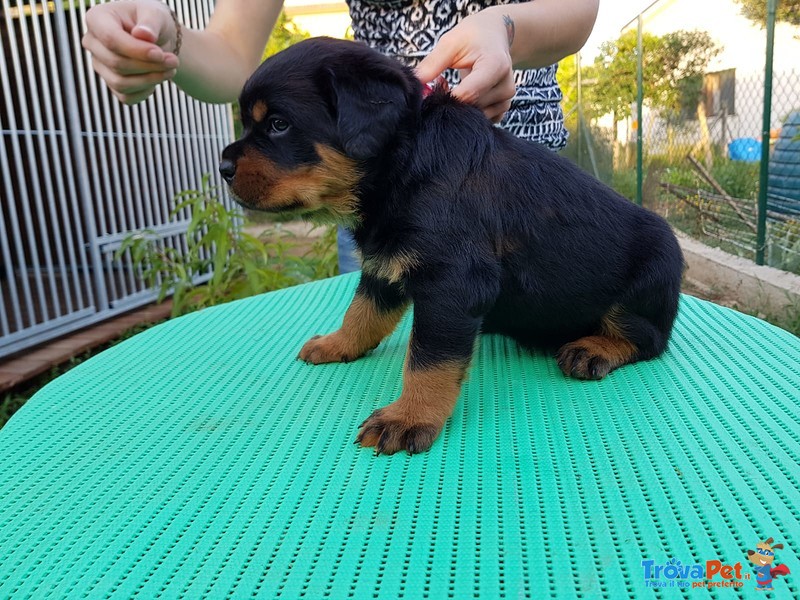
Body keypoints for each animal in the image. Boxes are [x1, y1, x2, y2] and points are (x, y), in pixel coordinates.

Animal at [219, 36, 680, 454]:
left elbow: (428, 359)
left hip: (648, 278)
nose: (223, 167)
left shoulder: (451, 281)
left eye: (278, 124)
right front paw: (338, 344)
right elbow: (362, 313)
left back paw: (594, 348)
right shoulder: (385, 264)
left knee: (649, 337)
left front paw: (408, 417)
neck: (403, 161)